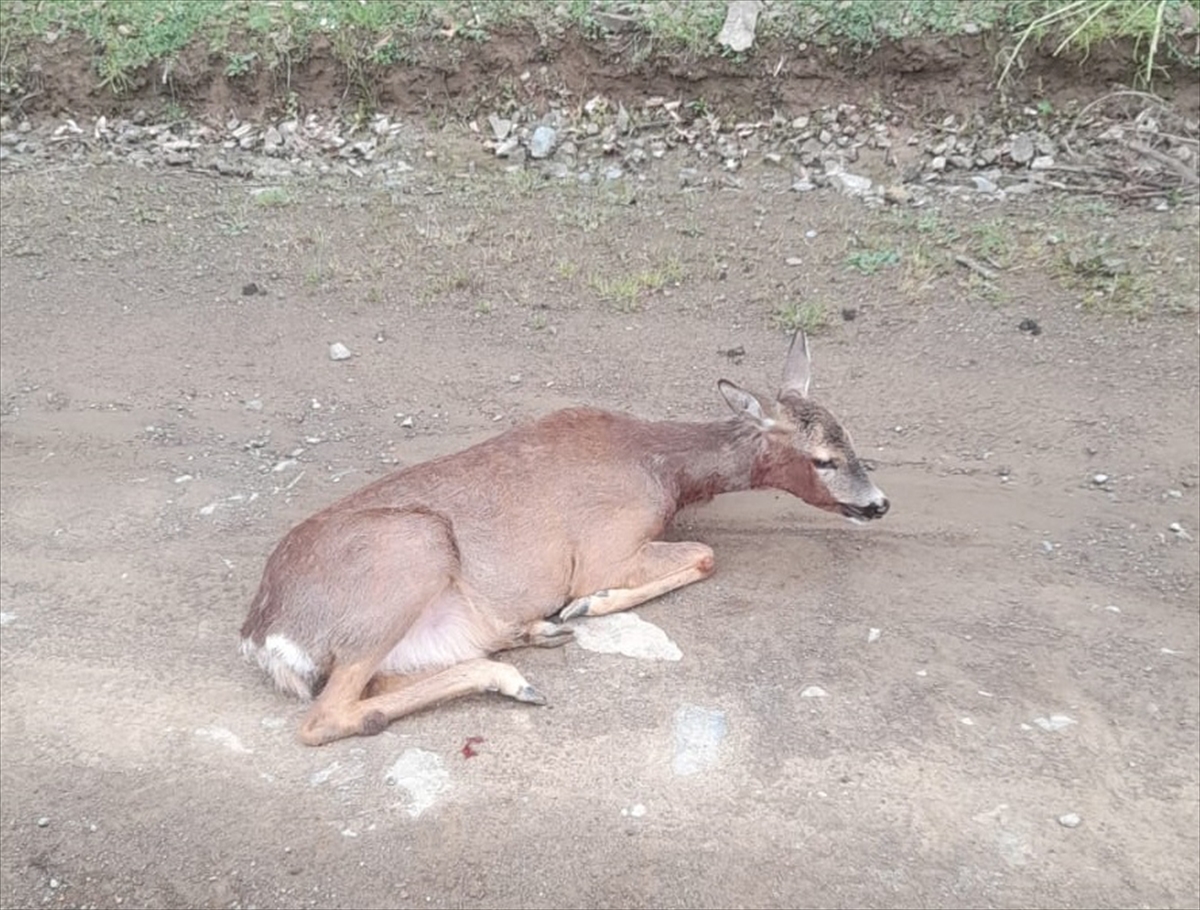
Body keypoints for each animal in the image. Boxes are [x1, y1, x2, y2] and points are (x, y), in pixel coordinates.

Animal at [238, 331, 888, 744]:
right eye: (824, 459)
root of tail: (264, 636)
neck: (662, 471)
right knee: (326, 715)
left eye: (853, 439)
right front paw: (587, 605)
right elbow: (706, 556)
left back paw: (529, 637)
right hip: (410, 549)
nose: (879, 503)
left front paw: (568, 615)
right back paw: (519, 669)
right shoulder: (605, 547)